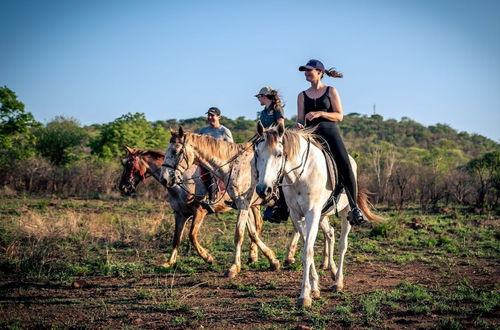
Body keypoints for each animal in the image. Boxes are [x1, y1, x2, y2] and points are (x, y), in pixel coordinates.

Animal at [119, 147, 264, 268]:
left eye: (130, 164)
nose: (123, 187)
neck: (180, 182)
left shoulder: (200, 211)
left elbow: (192, 236)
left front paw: (208, 257)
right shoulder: (180, 214)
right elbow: (176, 238)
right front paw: (169, 262)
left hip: (252, 205)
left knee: (257, 226)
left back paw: (252, 256)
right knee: (253, 227)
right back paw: (253, 256)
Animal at [256, 122, 380, 308]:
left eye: (279, 154)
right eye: (257, 153)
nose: (263, 190)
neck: (300, 176)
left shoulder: (312, 213)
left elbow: (307, 251)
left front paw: (304, 296)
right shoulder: (297, 215)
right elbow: (308, 248)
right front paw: (314, 288)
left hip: (345, 213)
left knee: (343, 244)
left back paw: (338, 282)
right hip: (322, 215)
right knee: (330, 233)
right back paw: (332, 270)